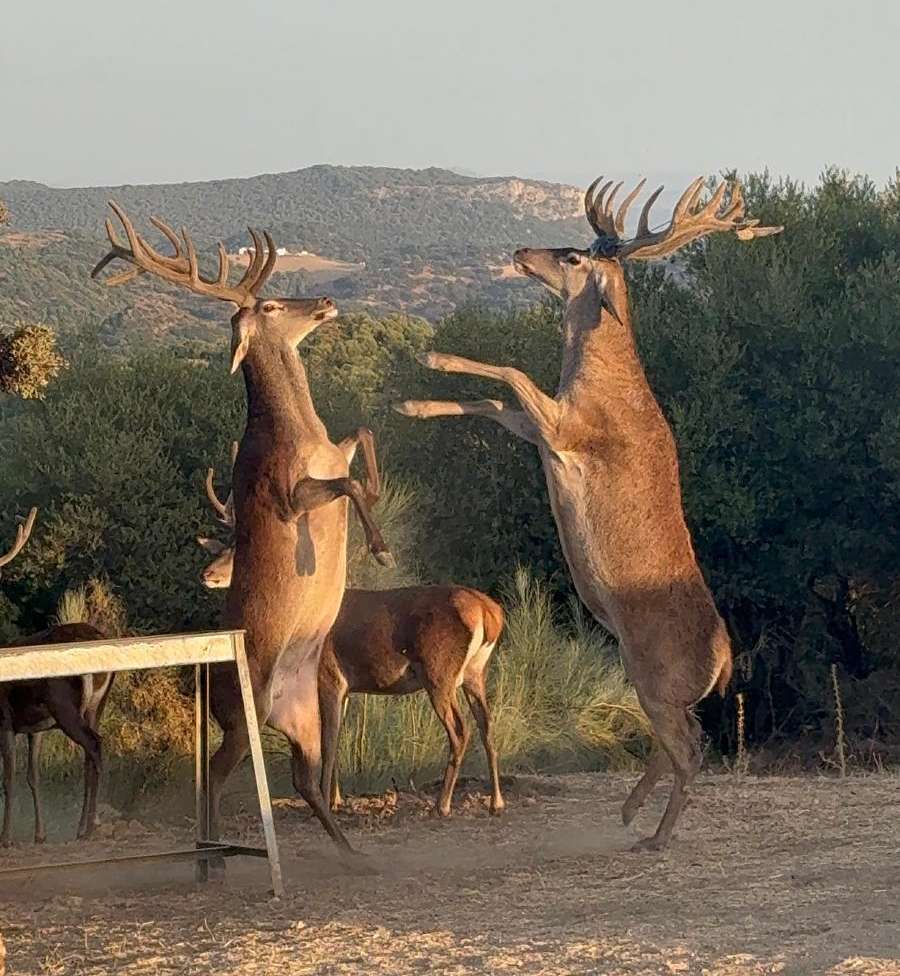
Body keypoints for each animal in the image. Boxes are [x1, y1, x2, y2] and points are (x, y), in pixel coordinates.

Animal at [0, 509, 112, 846]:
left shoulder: (4, 718)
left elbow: (8, 779)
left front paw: (6, 838)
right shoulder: (33, 728)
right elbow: (33, 776)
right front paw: (39, 834)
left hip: (63, 703)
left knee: (94, 746)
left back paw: (89, 827)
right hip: (96, 704)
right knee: (90, 753)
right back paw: (81, 826)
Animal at [92, 205, 393, 857]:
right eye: (273, 305)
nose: (326, 300)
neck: (301, 431)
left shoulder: (336, 452)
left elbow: (362, 438)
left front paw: (381, 511)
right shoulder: (287, 493)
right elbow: (347, 486)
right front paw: (381, 549)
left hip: (303, 710)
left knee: (305, 780)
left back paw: (354, 855)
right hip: (243, 709)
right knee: (217, 775)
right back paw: (217, 855)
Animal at [200, 448, 505, 816]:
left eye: (240, 551)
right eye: (221, 548)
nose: (207, 574)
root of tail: (490, 612)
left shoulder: (330, 676)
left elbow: (328, 741)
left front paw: (327, 800)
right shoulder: (344, 687)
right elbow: (338, 737)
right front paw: (335, 796)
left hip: (439, 671)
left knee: (461, 731)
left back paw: (442, 804)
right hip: (475, 672)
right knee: (488, 726)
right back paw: (496, 801)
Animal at [395, 176, 783, 851]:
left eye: (574, 257)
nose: (522, 252)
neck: (599, 381)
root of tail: (725, 660)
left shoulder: (567, 428)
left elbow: (510, 373)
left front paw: (434, 356)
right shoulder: (539, 428)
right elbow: (490, 401)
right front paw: (411, 403)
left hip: (656, 675)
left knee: (691, 748)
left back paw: (655, 835)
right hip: (648, 680)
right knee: (675, 743)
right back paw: (630, 813)